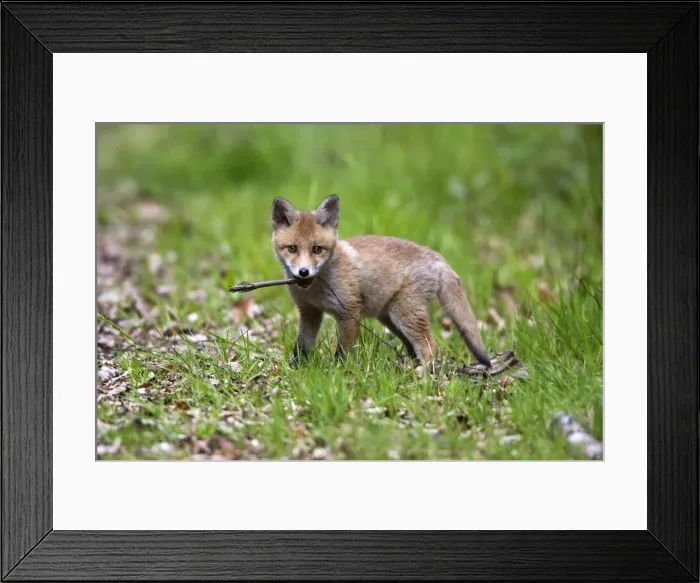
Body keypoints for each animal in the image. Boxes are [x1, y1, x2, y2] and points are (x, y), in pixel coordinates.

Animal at [271, 194, 491, 369]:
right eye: (292, 248)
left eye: (317, 249)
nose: (304, 272)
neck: (315, 289)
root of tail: (434, 255)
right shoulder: (310, 312)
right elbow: (302, 346)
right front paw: (296, 368)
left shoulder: (350, 310)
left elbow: (343, 351)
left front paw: (340, 372)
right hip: (390, 318)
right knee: (414, 347)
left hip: (404, 313)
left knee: (430, 345)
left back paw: (423, 374)